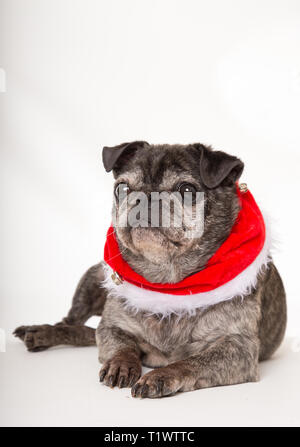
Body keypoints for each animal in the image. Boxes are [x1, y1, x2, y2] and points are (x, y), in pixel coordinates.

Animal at [14, 141, 286, 400]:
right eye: (122, 189)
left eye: (187, 190)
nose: (146, 198)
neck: (168, 283)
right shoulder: (111, 328)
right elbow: (122, 346)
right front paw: (122, 365)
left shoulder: (238, 349)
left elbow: (191, 362)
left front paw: (161, 375)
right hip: (92, 280)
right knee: (71, 323)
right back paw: (43, 332)